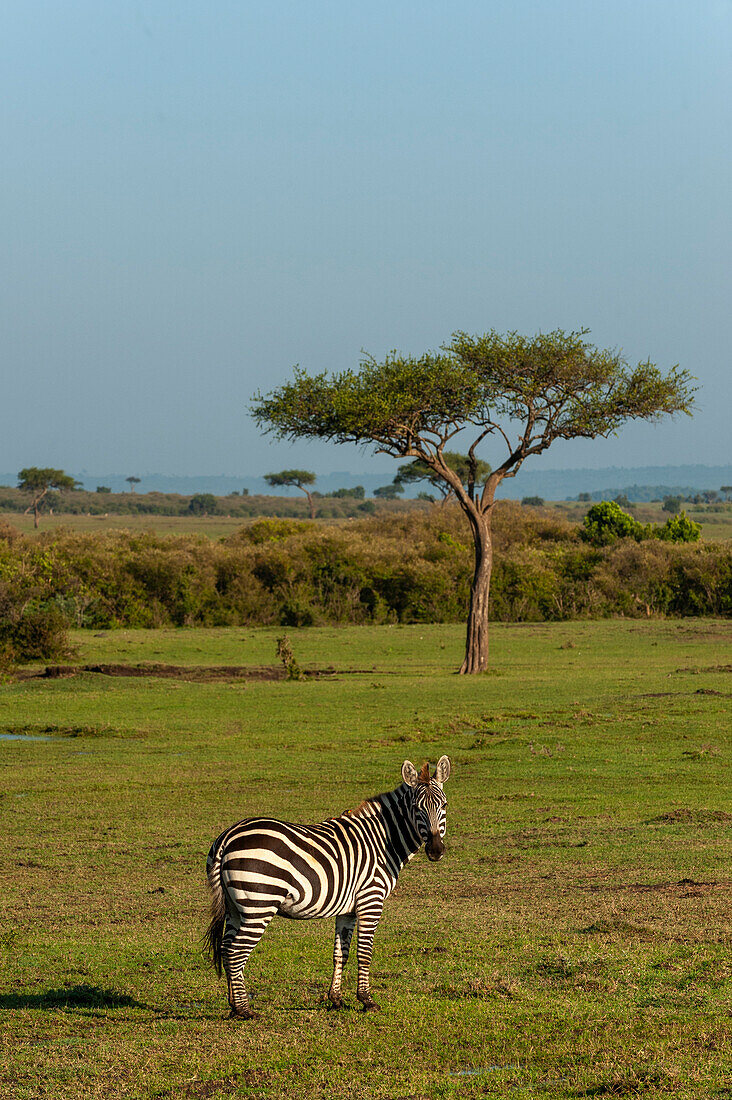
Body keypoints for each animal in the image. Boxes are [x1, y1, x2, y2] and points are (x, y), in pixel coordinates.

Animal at [202, 752, 449, 1016]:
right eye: (416, 808)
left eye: (443, 806)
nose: (436, 851)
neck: (383, 841)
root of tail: (228, 836)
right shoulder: (371, 899)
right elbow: (365, 953)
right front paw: (367, 1000)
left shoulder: (348, 909)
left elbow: (341, 953)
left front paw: (336, 999)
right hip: (259, 904)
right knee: (236, 953)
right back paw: (244, 1010)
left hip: (234, 907)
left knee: (225, 948)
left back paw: (232, 1006)